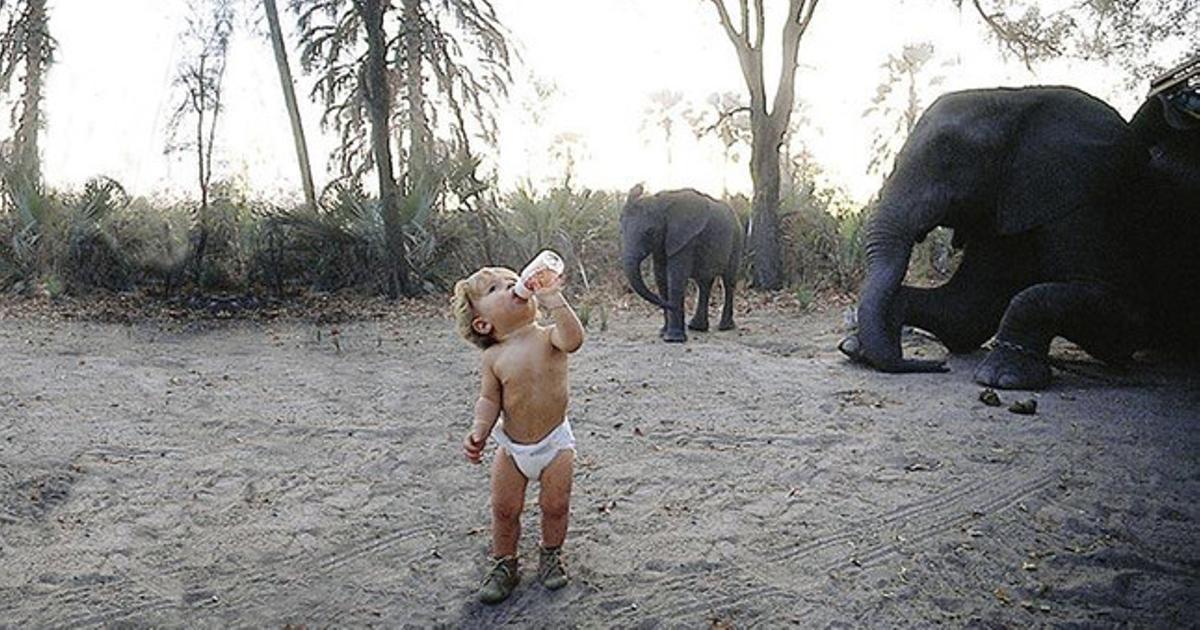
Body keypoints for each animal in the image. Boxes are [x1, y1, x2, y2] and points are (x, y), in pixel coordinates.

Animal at [620, 184, 743, 342]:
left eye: (649, 232)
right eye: (621, 230)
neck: (660, 203)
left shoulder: (686, 239)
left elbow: (676, 278)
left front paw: (673, 339)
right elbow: (661, 279)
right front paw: (663, 333)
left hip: (737, 240)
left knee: (728, 281)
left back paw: (725, 327)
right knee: (704, 283)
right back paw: (697, 327)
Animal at [838, 82, 1200, 390]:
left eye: (949, 158)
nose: (936, 366)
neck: (1017, 100)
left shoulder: (1080, 197)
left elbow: (1124, 317)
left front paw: (1003, 379)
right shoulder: (1005, 202)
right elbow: (965, 310)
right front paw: (859, 347)